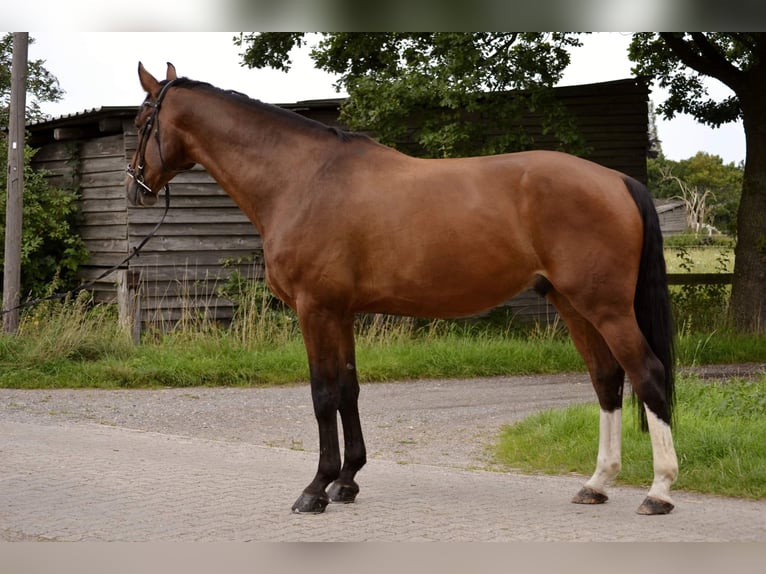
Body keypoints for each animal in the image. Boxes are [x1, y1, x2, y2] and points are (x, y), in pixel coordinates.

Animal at [129, 63, 680, 516]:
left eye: (140, 123)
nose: (137, 187)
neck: (303, 179)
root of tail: (617, 180)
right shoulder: (342, 313)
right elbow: (347, 389)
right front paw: (347, 482)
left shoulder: (316, 309)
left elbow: (322, 393)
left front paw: (316, 489)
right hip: (573, 304)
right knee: (607, 379)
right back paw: (597, 484)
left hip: (606, 307)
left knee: (647, 374)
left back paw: (658, 492)